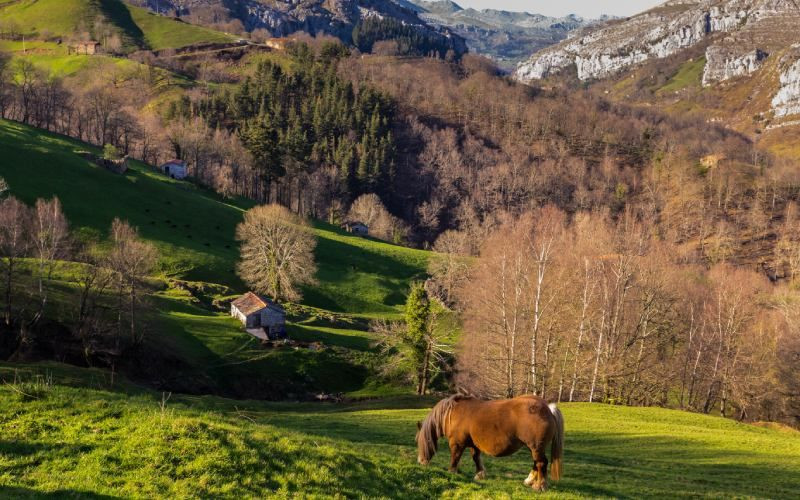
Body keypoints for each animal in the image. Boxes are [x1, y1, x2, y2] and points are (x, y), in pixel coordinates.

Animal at [416, 394, 564, 492]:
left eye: (421, 442)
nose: (421, 462)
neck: (452, 414)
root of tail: (547, 408)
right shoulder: (474, 445)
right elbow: (476, 458)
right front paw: (480, 474)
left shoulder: (457, 444)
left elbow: (455, 458)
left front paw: (452, 472)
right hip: (533, 447)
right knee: (536, 463)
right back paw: (529, 481)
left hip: (536, 447)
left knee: (541, 463)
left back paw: (539, 485)